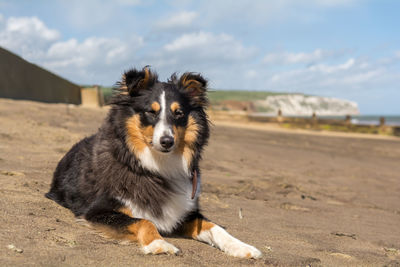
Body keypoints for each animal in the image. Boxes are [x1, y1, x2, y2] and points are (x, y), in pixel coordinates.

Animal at [45, 67, 262, 260]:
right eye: (151, 111)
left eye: (179, 113)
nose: (167, 141)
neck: (156, 166)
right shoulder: (97, 211)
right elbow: (144, 221)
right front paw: (159, 244)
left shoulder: (184, 213)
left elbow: (215, 227)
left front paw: (242, 247)